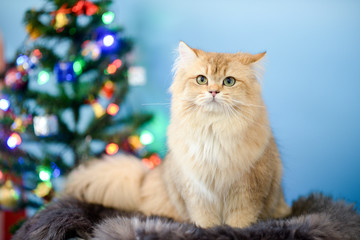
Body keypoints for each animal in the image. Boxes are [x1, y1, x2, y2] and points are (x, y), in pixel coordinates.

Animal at [64, 41, 290, 229]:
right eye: (202, 79)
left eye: (229, 82)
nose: (213, 92)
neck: (213, 132)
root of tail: (143, 179)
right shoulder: (196, 192)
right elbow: (205, 221)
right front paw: (210, 231)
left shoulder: (247, 192)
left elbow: (239, 223)